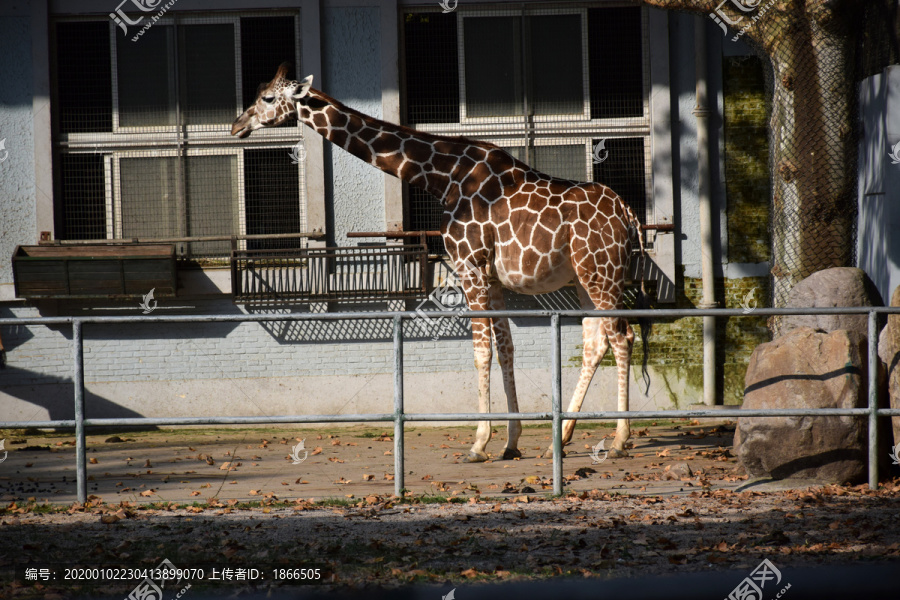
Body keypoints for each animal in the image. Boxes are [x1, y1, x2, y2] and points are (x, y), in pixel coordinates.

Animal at [232, 64, 652, 460]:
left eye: (267, 98)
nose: (238, 125)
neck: (442, 179)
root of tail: (628, 215)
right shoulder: (491, 277)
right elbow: (505, 349)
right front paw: (511, 443)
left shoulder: (468, 265)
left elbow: (481, 351)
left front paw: (479, 443)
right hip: (583, 278)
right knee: (596, 342)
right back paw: (558, 442)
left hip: (602, 274)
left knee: (621, 336)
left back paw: (619, 440)